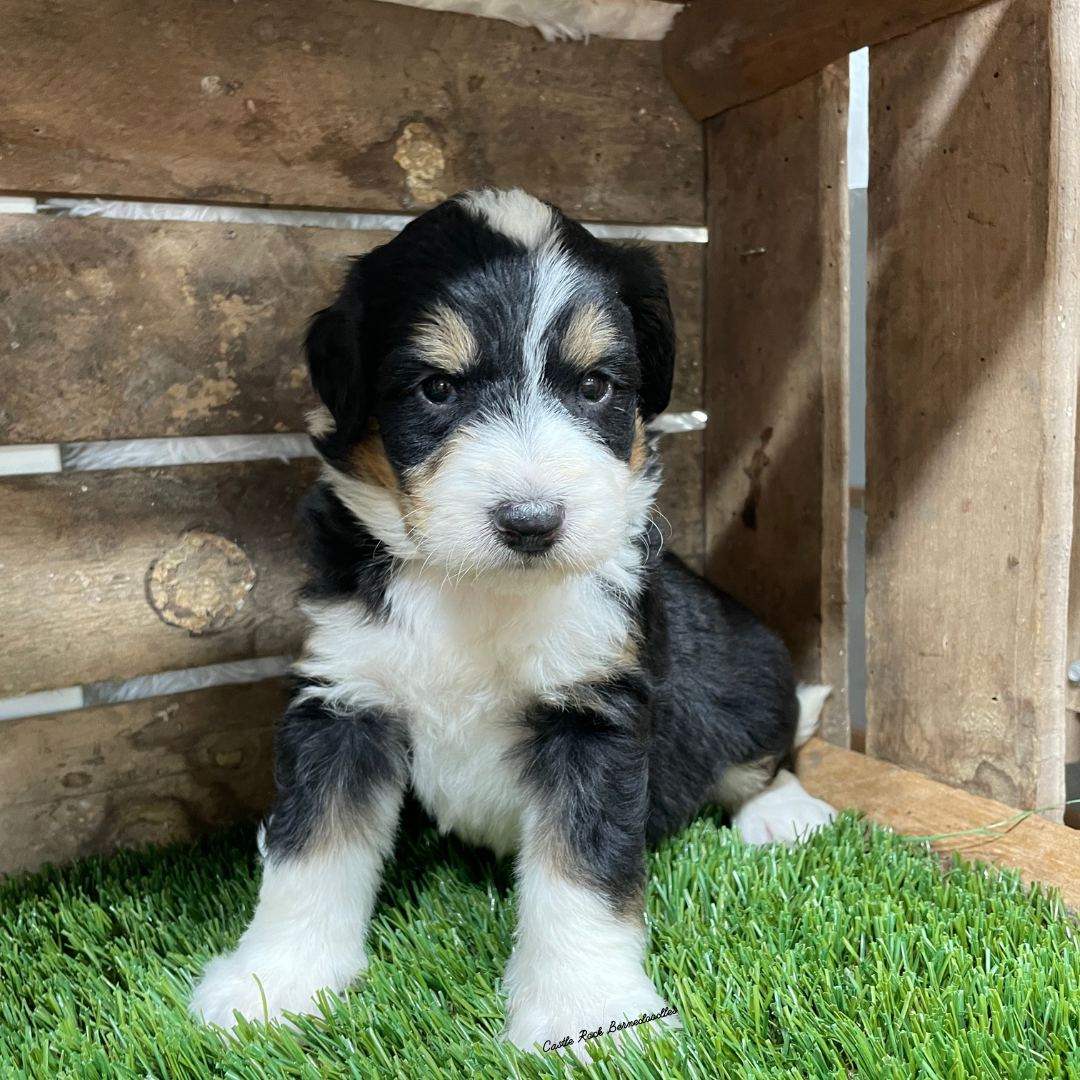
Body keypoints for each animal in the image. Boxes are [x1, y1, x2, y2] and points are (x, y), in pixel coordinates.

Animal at [190, 187, 838, 1054]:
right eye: (437, 389)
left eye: (596, 387)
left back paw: (783, 813)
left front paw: (589, 1014)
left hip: (748, 671)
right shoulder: (346, 700)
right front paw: (274, 984)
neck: (476, 591)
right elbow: (309, 853)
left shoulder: (592, 714)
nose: (532, 522)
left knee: (766, 747)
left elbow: (581, 872)